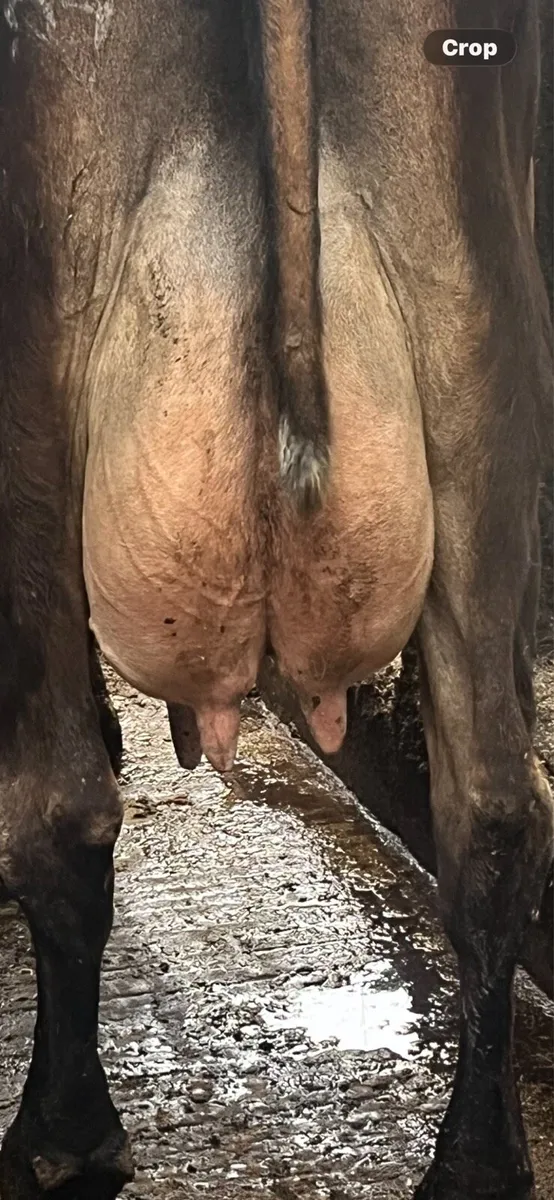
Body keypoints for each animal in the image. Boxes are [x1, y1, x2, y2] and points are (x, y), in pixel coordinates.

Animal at [0, 0, 551, 1197]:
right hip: (480, 361)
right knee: (494, 810)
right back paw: (477, 1161)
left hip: (26, 396)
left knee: (59, 810)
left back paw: (61, 1136)